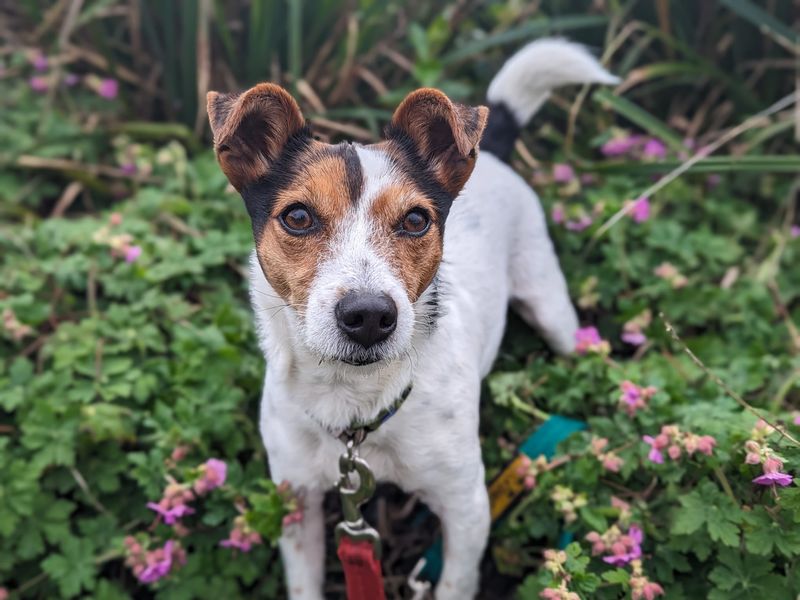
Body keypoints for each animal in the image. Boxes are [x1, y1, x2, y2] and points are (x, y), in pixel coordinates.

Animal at [208, 38, 620, 600]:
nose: (367, 315)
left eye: (416, 220)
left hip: (550, 303)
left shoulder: (467, 507)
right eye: (298, 217)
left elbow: (455, 582)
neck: (356, 404)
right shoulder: (298, 503)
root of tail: (492, 153)